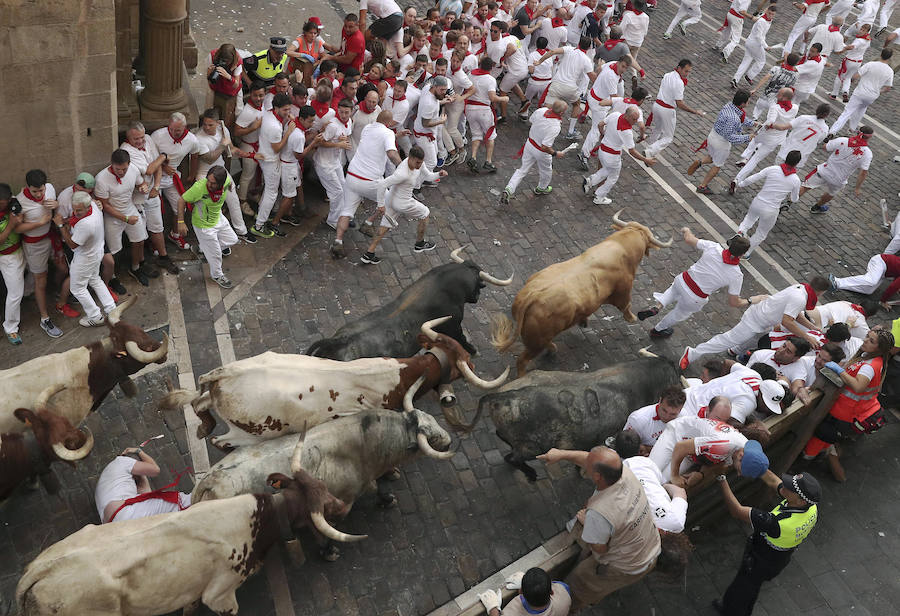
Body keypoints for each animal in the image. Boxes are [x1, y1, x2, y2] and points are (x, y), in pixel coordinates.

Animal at [488, 212, 672, 376]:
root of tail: (531, 296)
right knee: (522, 361)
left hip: (538, 339)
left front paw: (584, 321)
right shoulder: (623, 291)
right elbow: (626, 305)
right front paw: (632, 318)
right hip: (536, 343)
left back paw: (553, 348)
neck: (621, 247)